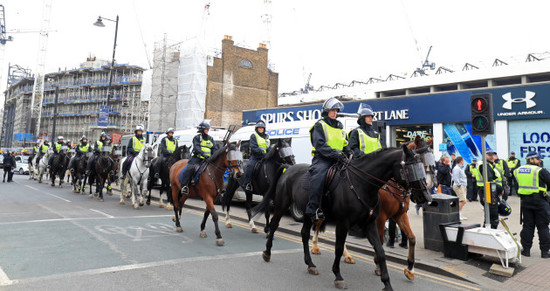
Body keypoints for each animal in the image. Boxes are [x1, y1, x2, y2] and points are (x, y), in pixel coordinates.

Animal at [256, 146, 434, 291]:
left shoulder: (370, 224)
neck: (362, 184)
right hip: (282, 205)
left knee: (305, 233)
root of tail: (290, 168)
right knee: (274, 225)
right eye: (410, 169)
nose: (426, 197)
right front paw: (338, 276)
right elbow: (339, 248)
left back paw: (310, 264)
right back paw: (267, 252)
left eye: (421, 167)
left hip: (308, 213)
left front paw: (387, 282)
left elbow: (381, 251)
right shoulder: (344, 223)